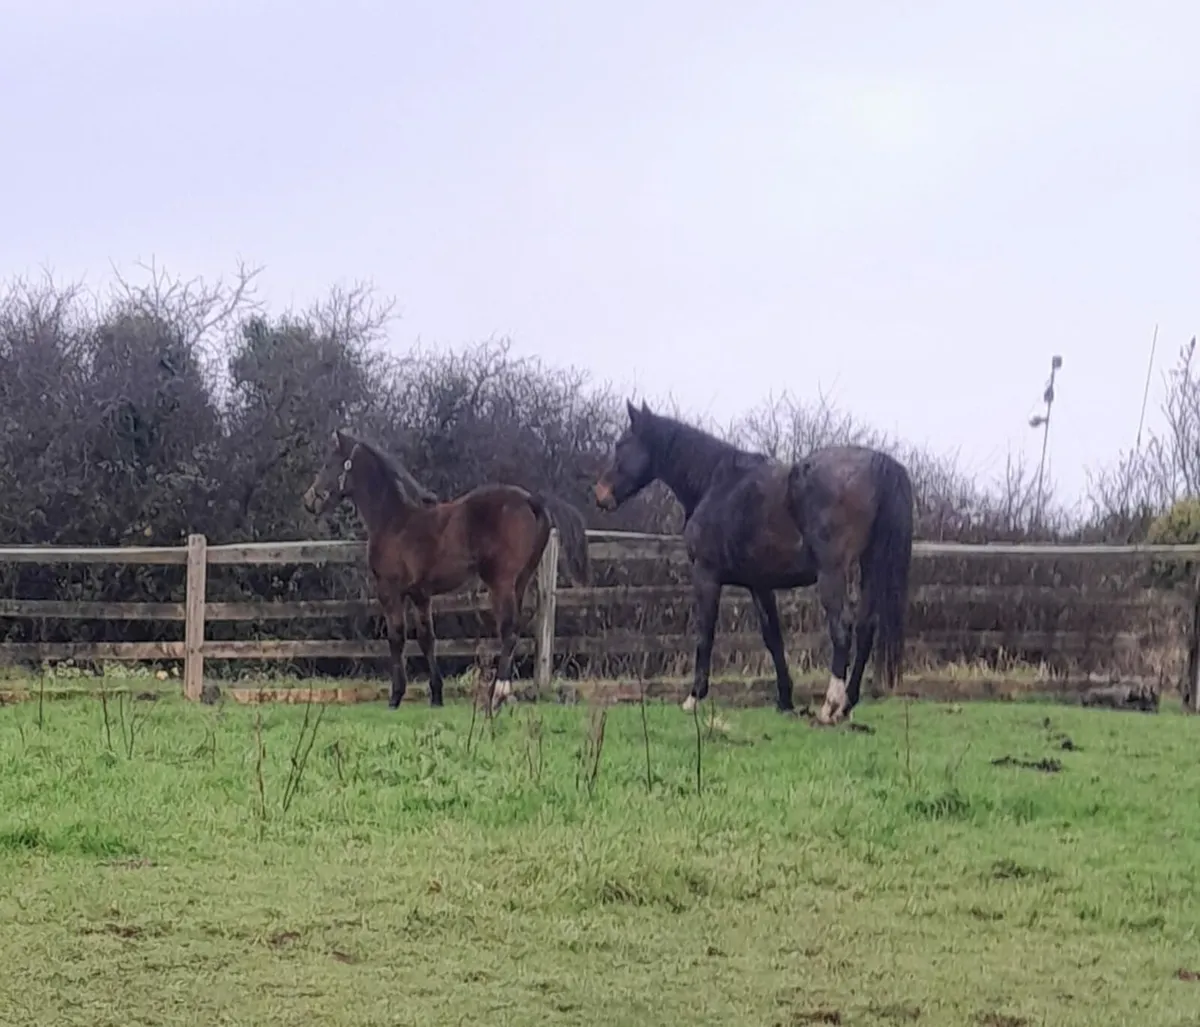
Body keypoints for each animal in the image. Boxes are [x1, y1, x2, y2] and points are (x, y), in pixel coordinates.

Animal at [303, 429, 590, 712]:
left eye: (329, 464)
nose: (309, 501)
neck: (394, 521)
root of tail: (531, 500)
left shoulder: (390, 591)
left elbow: (397, 638)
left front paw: (396, 696)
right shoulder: (420, 595)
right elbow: (427, 639)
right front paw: (436, 695)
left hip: (501, 583)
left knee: (508, 631)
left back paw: (497, 695)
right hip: (520, 581)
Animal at [593, 401, 913, 725]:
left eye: (622, 444)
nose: (600, 494)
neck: (716, 484)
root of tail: (879, 465)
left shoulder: (706, 575)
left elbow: (705, 634)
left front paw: (693, 698)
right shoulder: (760, 584)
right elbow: (773, 638)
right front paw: (785, 700)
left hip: (833, 572)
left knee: (842, 628)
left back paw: (831, 705)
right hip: (870, 565)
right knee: (866, 626)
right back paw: (847, 704)